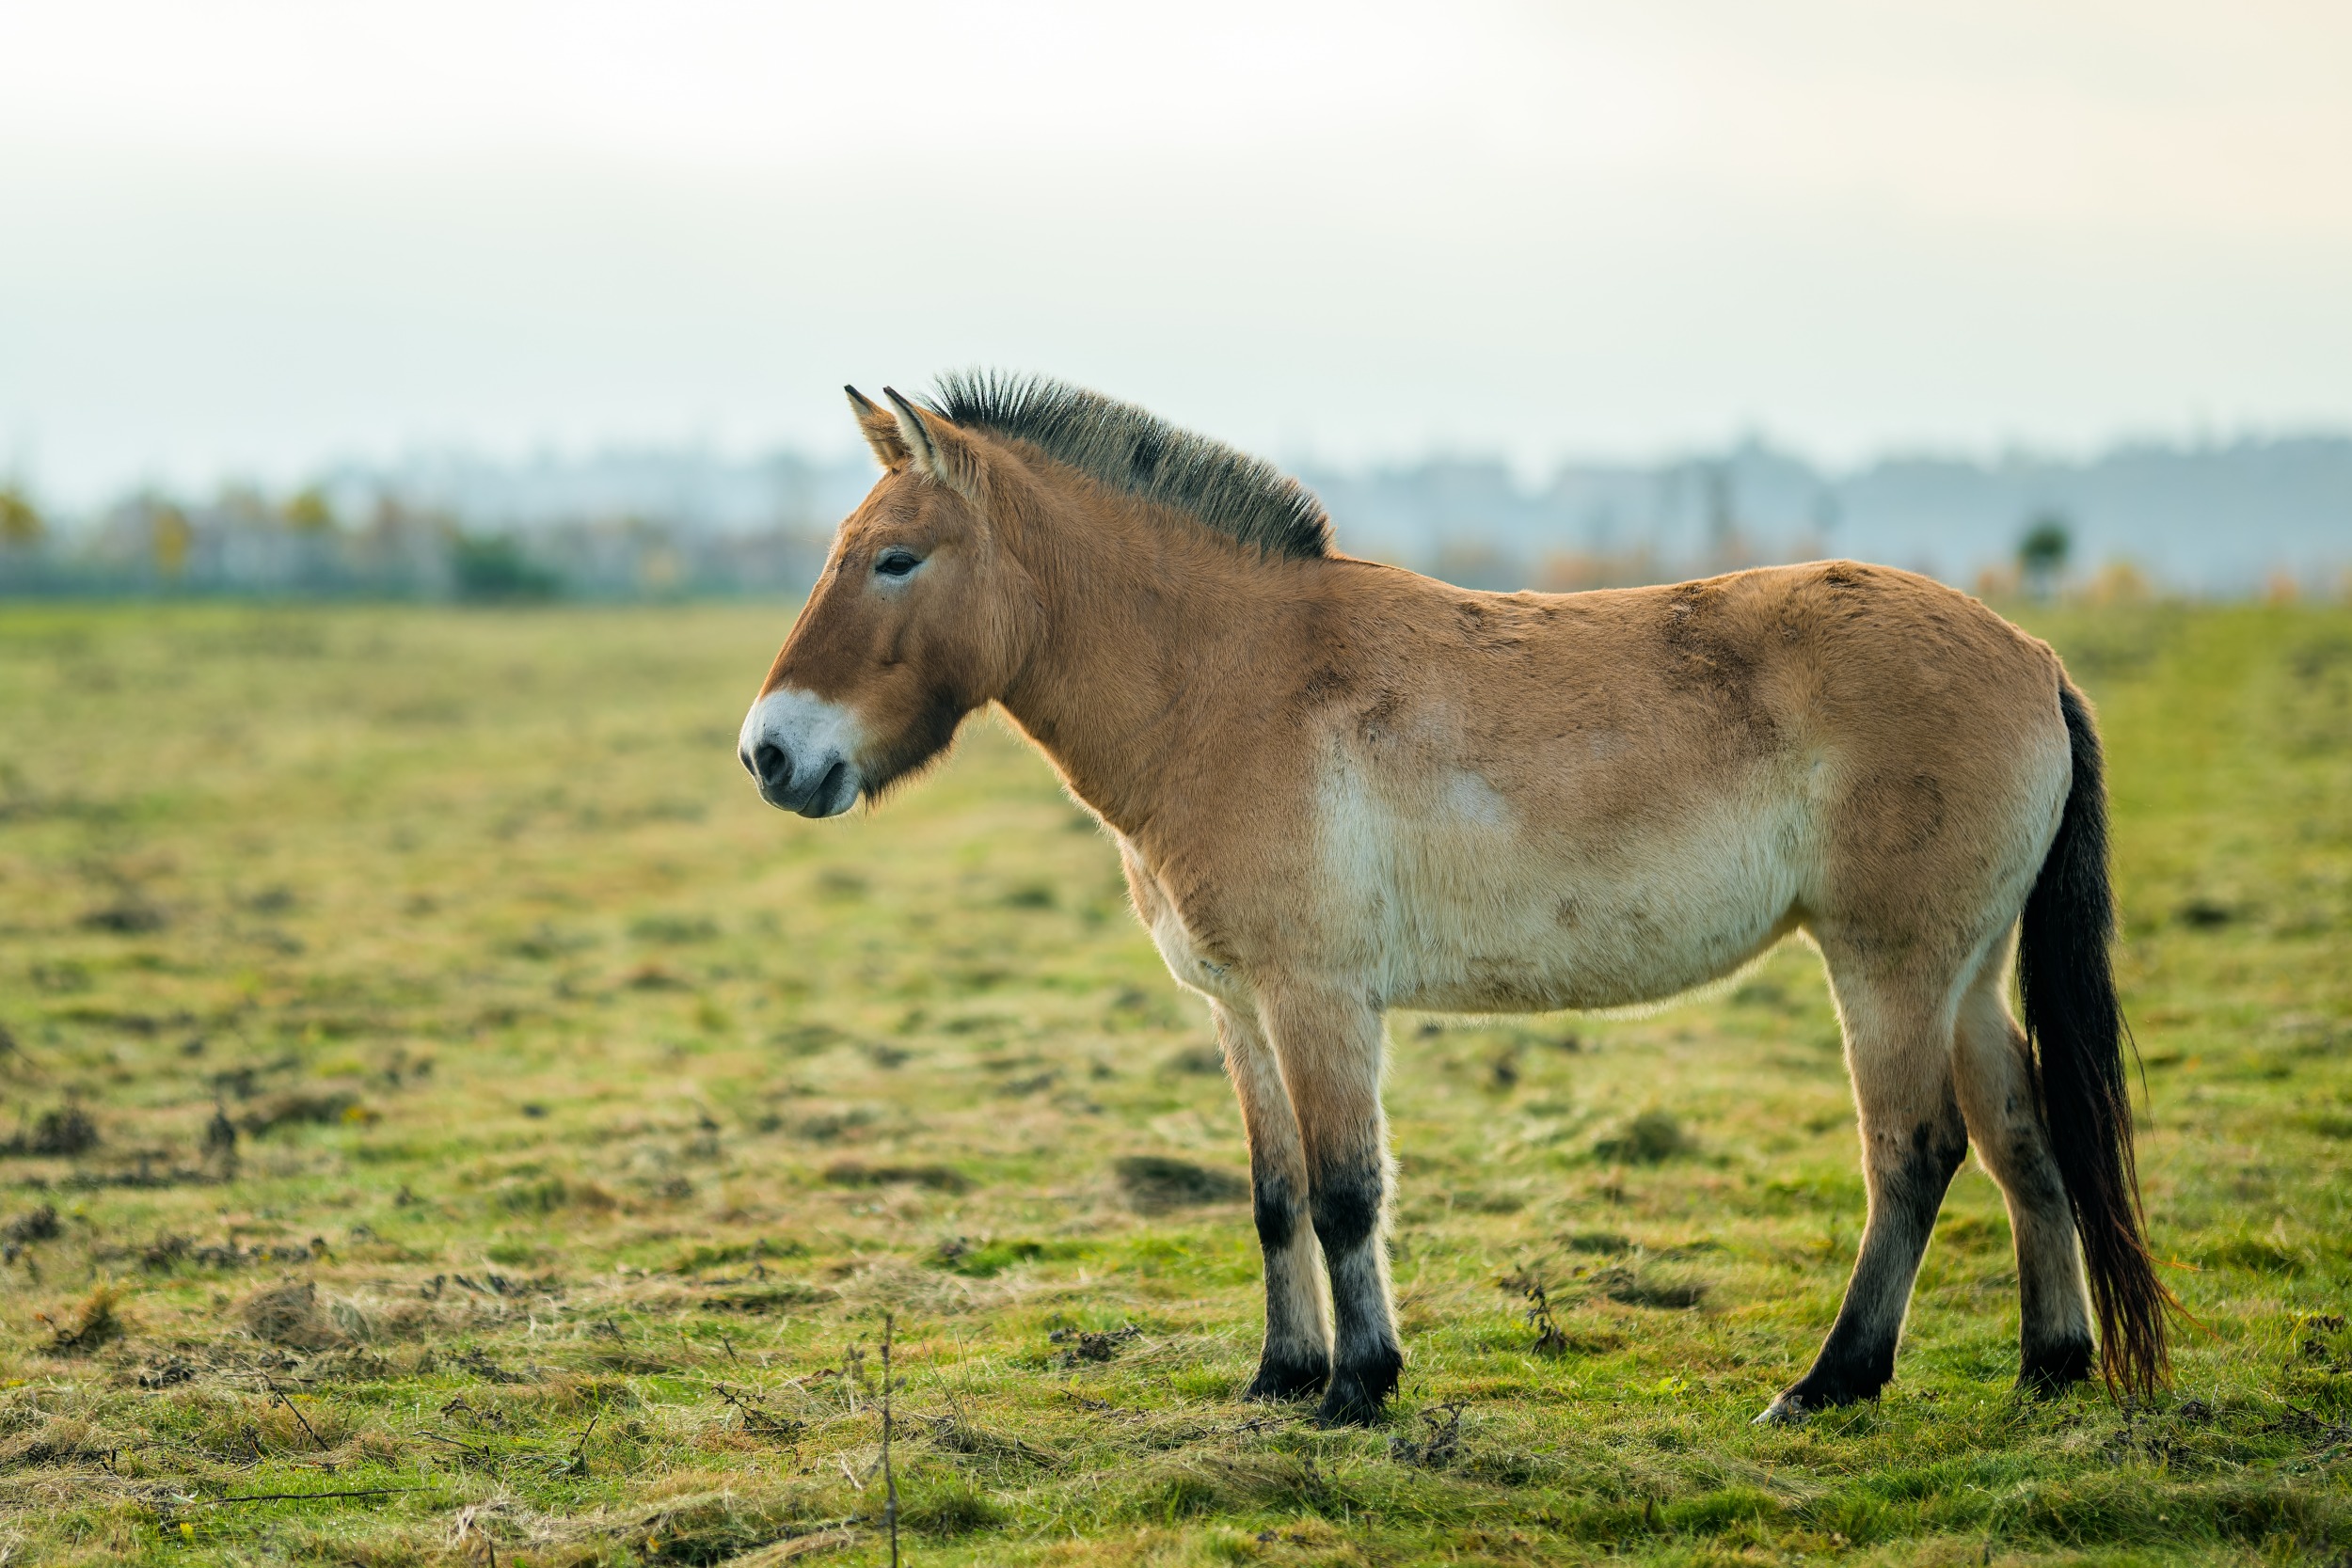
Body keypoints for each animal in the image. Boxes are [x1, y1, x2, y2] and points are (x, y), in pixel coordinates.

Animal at [739, 373, 2164, 1429]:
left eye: (895, 560)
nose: (771, 754)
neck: (1224, 680)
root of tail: (2033, 655)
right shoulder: (1239, 1007)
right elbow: (1271, 1192)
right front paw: (1282, 1374)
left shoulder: (1320, 997)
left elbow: (1342, 1188)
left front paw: (1359, 1385)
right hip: (1962, 972)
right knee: (2025, 1137)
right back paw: (2048, 1364)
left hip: (1889, 968)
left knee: (1914, 1151)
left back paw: (1831, 1381)